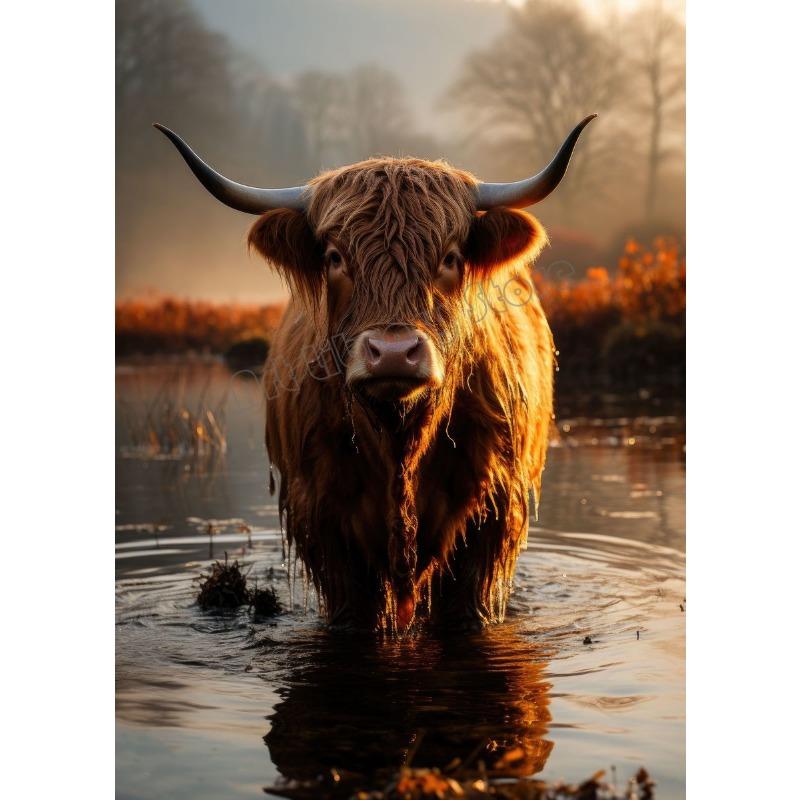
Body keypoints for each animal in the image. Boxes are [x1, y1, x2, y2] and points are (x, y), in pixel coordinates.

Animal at [156, 115, 595, 634]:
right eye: (334, 257)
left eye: (449, 257)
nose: (393, 353)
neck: (399, 439)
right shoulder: (325, 523)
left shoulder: (489, 515)